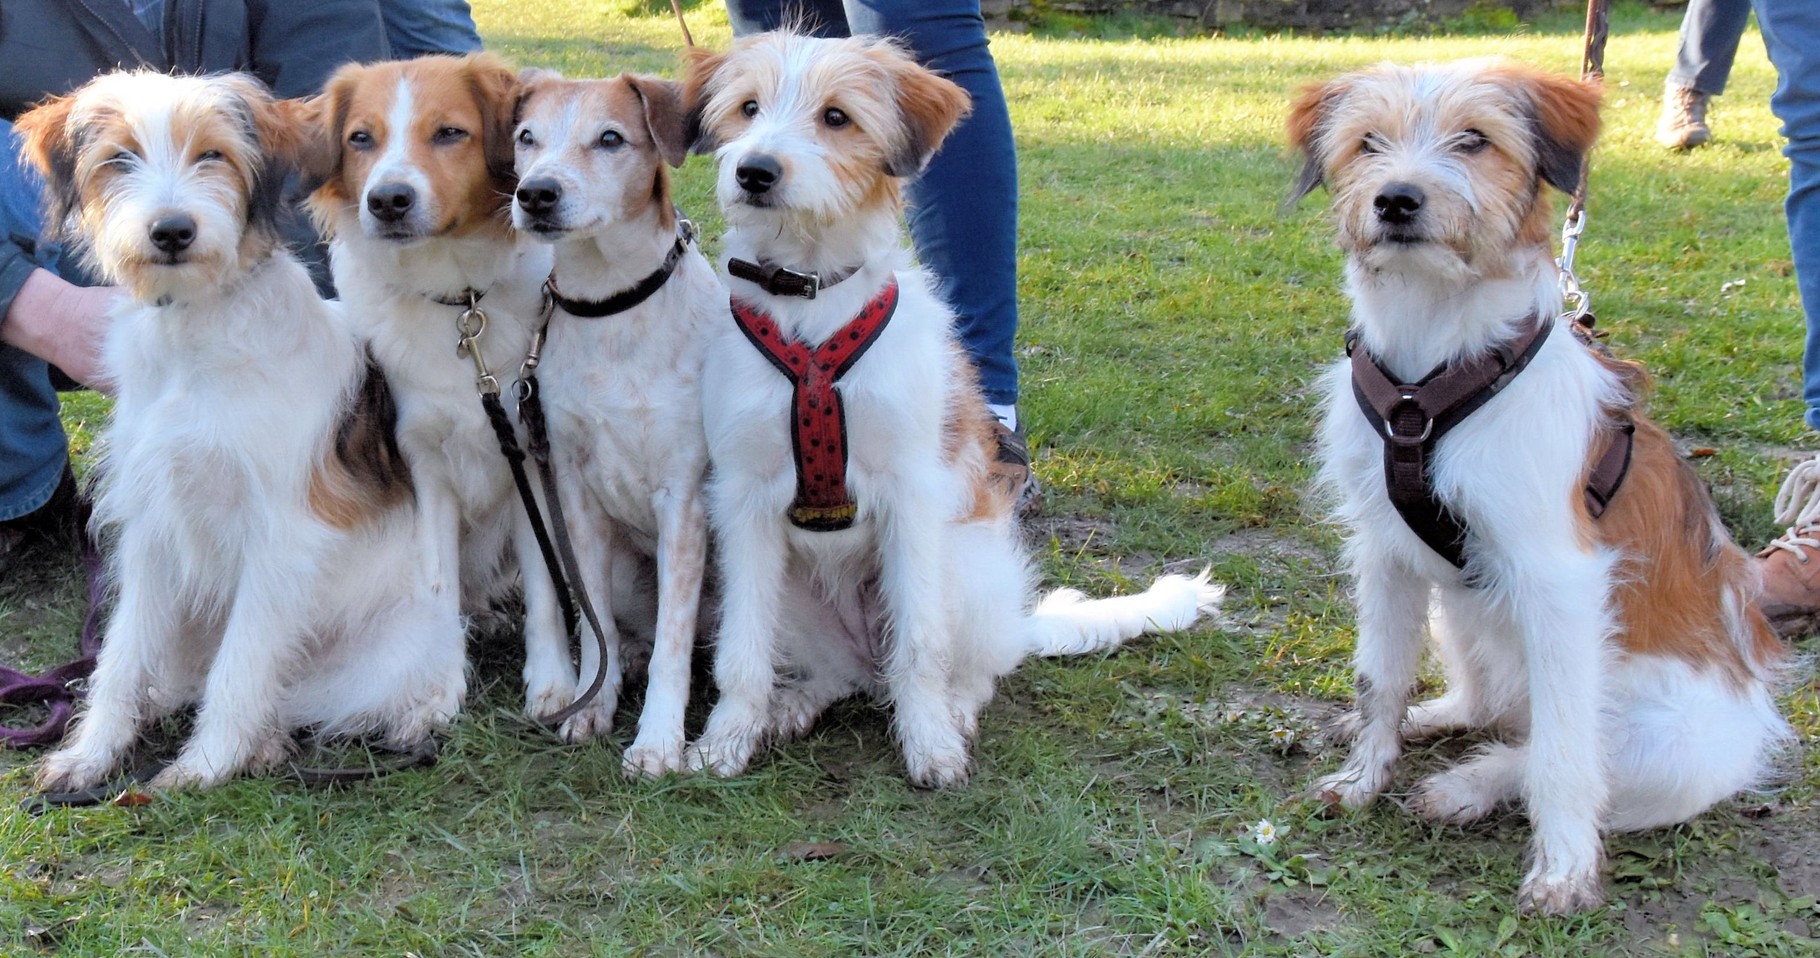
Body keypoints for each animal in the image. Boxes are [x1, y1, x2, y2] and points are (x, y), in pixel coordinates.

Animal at [18, 71, 465, 794]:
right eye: (120, 159)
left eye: (213, 155)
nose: (172, 231)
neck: (195, 334)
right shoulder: (151, 529)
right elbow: (122, 654)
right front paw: (91, 753)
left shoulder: (280, 538)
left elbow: (242, 662)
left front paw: (204, 765)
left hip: (383, 656)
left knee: (297, 693)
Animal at [509, 71, 720, 775]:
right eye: (527, 137)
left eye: (609, 139)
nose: (535, 192)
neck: (610, 306)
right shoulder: (574, 493)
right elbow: (590, 609)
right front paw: (589, 703)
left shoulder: (683, 499)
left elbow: (673, 647)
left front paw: (657, 741)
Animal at [1295, 58, 1790, 917]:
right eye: (1368, 144)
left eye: (1474, 140)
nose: (1397, 199)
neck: (1429, 376)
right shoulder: (1384, 555)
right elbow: (1376, 678)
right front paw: (1363, 777)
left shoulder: (1559, 585)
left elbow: (1563, 749)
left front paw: (1562, 870)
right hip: (1454, 607)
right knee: (1489, 708)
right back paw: (1435, 726)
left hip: (1675, 747)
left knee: (1552, 748)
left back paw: (1467, 788)